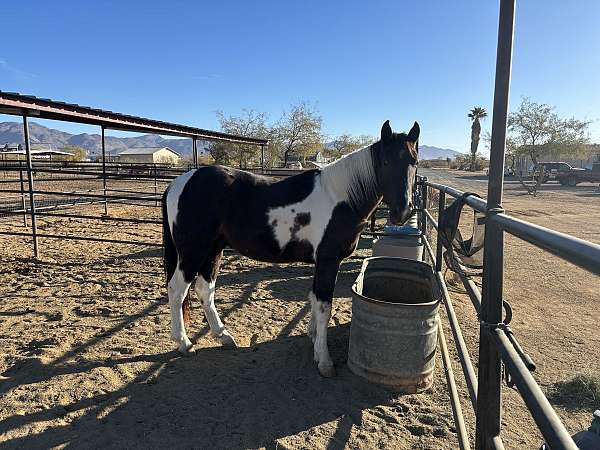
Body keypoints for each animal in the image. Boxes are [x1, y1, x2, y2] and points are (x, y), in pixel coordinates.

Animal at [162, 119, 420, 376]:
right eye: (385, 162)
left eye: (414, 162)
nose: (403, 212)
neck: (342, 198)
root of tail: (179, 183)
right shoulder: (328, 260)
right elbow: (324, 306)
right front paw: (324, 360)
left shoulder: (320, 263)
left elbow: (314, 299)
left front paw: (313, 337)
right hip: (192, 252)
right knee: (177, 290)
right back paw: (184, 343)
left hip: (213, 250)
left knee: (205, 290)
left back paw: (223, 336)